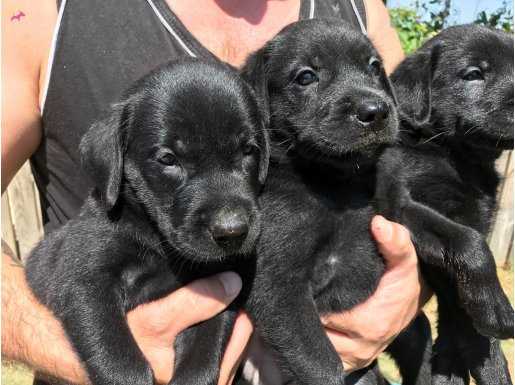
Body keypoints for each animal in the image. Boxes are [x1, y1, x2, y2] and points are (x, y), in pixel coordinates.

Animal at [25, 59, 270, 384]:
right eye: (168, 159)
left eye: (249, 150)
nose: (232, 232)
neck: (159, 244)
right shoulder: (83, 282)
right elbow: (118, 360)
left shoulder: (220, 293)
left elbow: (202, 359)